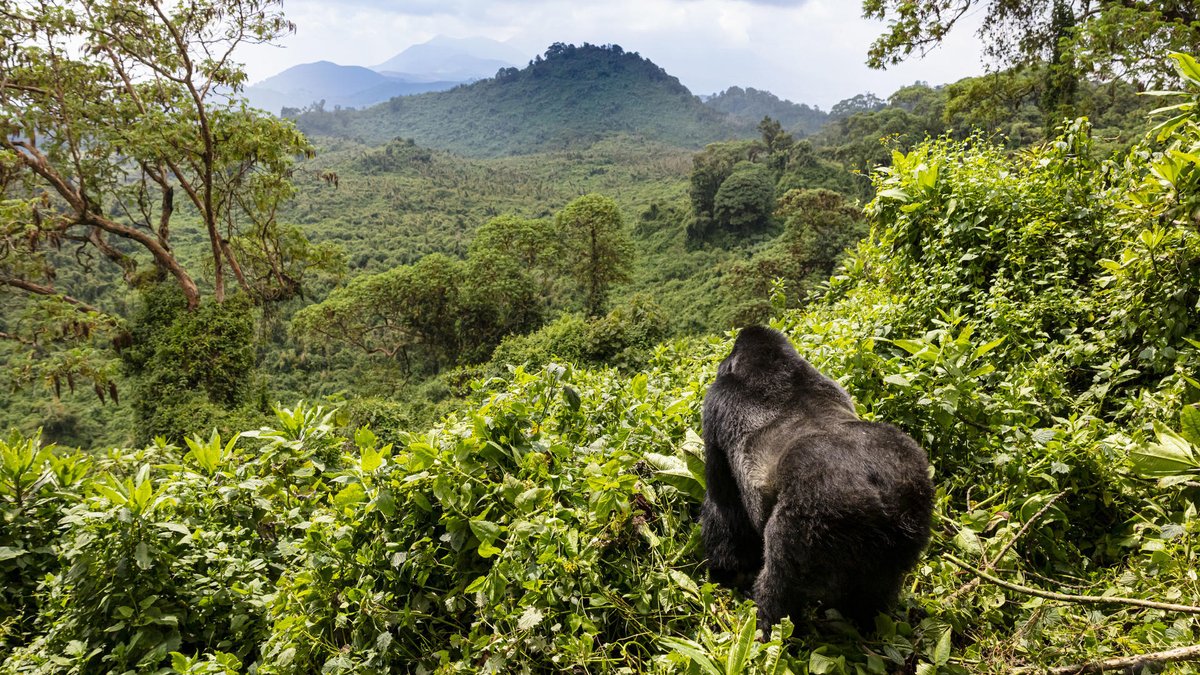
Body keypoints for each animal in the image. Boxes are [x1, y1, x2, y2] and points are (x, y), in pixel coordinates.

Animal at [700, 325, 933, 629]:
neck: (771, 364)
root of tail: (879, 494)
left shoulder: (715, 405)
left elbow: (723, 504)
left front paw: (728, 571)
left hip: (814, 515)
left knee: (780, 585)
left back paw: (770, 627)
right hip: (913, 507)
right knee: (876, 591)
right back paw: (865, 621)